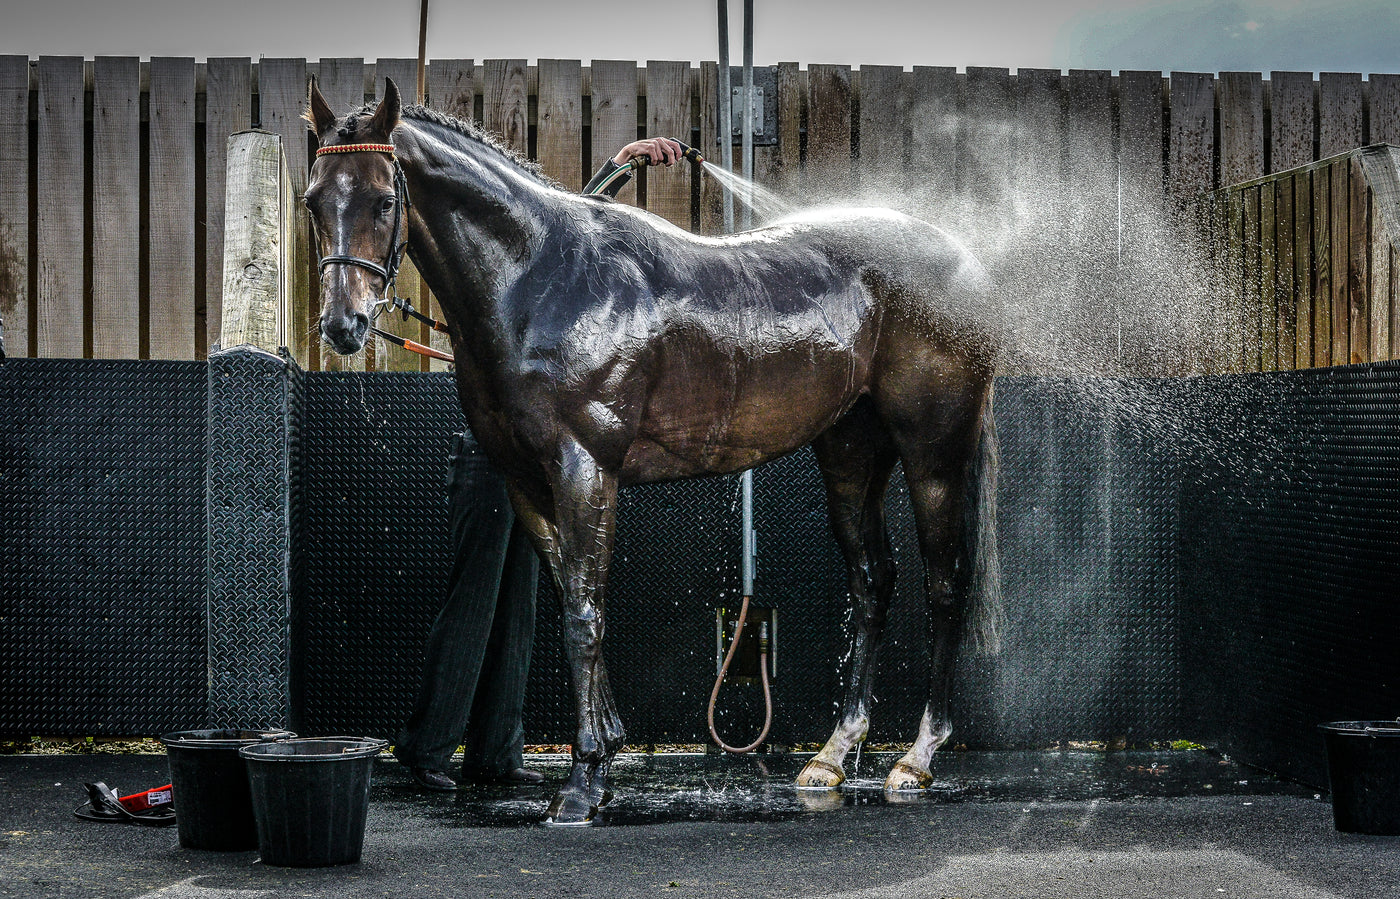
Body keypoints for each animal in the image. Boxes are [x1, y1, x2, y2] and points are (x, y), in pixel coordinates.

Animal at [304, 78, 1003, 825]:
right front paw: (606, 747)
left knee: (945, 585)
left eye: (383, 199)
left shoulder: (585, 468)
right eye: (314, 199)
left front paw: (583, 782)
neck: (544, 276)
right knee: (872, 582)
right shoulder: (527, 482)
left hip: (933, 454)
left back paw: (916, 757)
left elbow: (585, 613)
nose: (343, 325)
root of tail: (965, 264)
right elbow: (570, 598)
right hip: (850, 453)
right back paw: (833, 755)